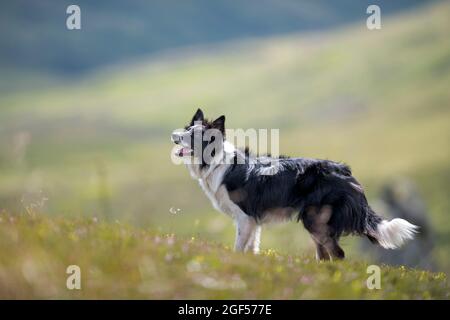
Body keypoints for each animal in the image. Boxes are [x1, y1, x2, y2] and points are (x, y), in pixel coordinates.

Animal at [171, 109, 418, 260]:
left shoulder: (244, 217)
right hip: (317, 222)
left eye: (192, 136)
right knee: (325, 255)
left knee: (337, 254)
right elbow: (252, 247)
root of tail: (345, 172)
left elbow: (239, 247)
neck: (217, 162)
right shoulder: (253, 221)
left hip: (314, 219)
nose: (173, 135)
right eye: (186, 129)